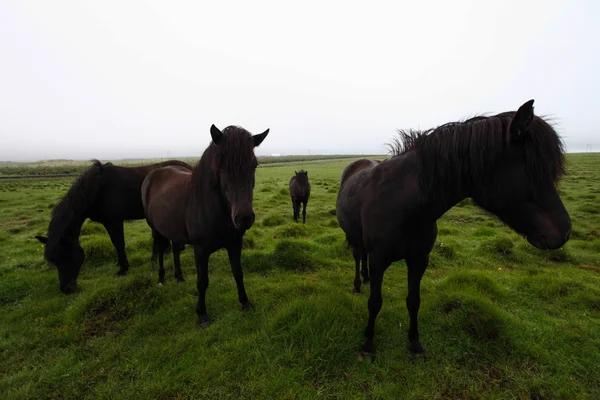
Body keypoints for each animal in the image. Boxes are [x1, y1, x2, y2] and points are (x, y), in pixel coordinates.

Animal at [34, 159, 192, 294]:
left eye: (67, 256)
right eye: (54, 261)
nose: (66, 289)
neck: (98, 188)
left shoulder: (114, 221)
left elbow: (119, 243)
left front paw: (123, 269)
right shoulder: (107, 222)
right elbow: (115, 244)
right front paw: (119, 264)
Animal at [142, 123, 268, 326]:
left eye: (254, 165)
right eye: (221, 166)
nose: (244, 218)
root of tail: (152, 175)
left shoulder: (235, 244)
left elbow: (238, 273)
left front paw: (245, 303)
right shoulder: (200, 250)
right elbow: (202, 281)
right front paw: (202, 314)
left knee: (175, 250)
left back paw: (179, 277)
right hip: (156, 229)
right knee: (160, 251)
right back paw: (161, 278)